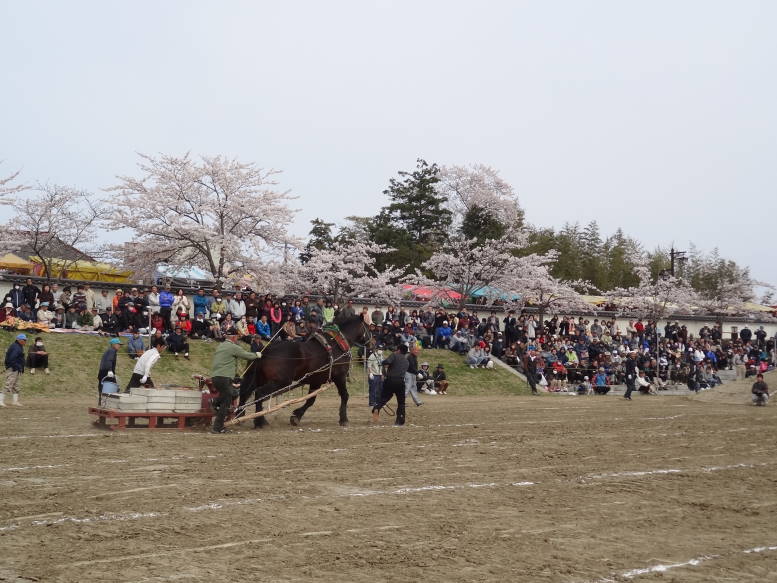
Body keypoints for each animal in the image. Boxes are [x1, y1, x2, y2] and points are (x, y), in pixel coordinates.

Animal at [236, 314, 370, 428]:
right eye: (368, 327)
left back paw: (239, 415)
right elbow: (345, 396)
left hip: (260, 378)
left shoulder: (316, 381)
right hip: (281, 381)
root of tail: (265, 350)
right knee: (259, 394)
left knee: (245, 392)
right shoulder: (340, 377)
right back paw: (260, 421)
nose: (372, 341)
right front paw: (344, 419)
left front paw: (297, 416)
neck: (337, 344)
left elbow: (310, 400)